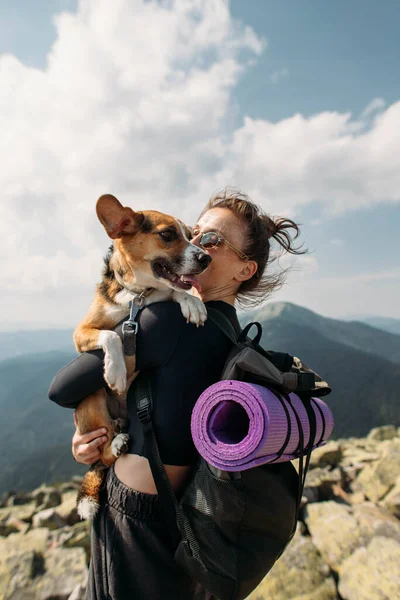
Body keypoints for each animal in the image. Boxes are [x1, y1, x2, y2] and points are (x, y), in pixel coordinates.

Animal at [73, 195, 209, 516]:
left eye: (191, 235)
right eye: (168, 235)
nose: (206, 258)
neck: (136, 294)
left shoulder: (160, 295)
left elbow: (175, 291)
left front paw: (192, 303)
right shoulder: (82, 332)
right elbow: (111, 334)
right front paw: (115, 372)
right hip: (91, 400)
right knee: (105, 455)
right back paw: (116, 444)